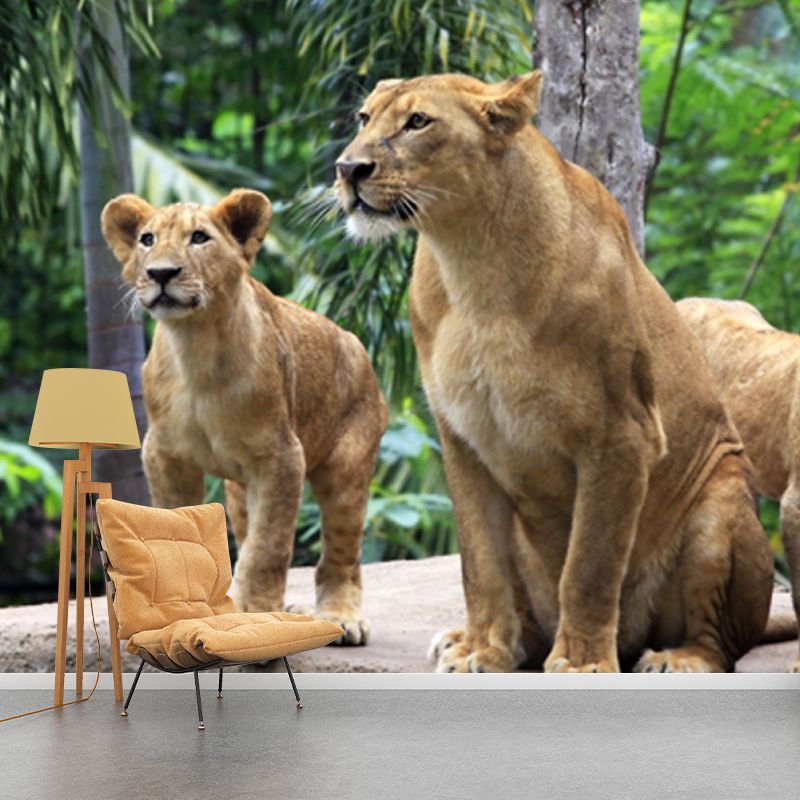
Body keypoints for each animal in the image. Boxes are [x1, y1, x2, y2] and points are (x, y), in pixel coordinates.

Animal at [101, 189, 387, 644]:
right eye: (147, 239)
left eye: (200, 237)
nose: (160, 273)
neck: (195, 346)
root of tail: (356, 344)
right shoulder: (166, 455)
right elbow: (173, 527)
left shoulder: (281, 457)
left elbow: (268, 545)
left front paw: (255, 613)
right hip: (237, 492)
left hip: (346, 468)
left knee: (341, 554)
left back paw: (342, 618)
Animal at [334, 71, 774, 672]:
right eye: (364, 118)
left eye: (418, 122)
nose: (347, 169)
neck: (471, 260)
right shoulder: (463, 438)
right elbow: (479, 563)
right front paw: (483, 650)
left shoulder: (622, 436)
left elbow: (589, 566)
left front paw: (584, 661)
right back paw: (480, 639)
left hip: (721, 500)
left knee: (720, 639)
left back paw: (676, 657)